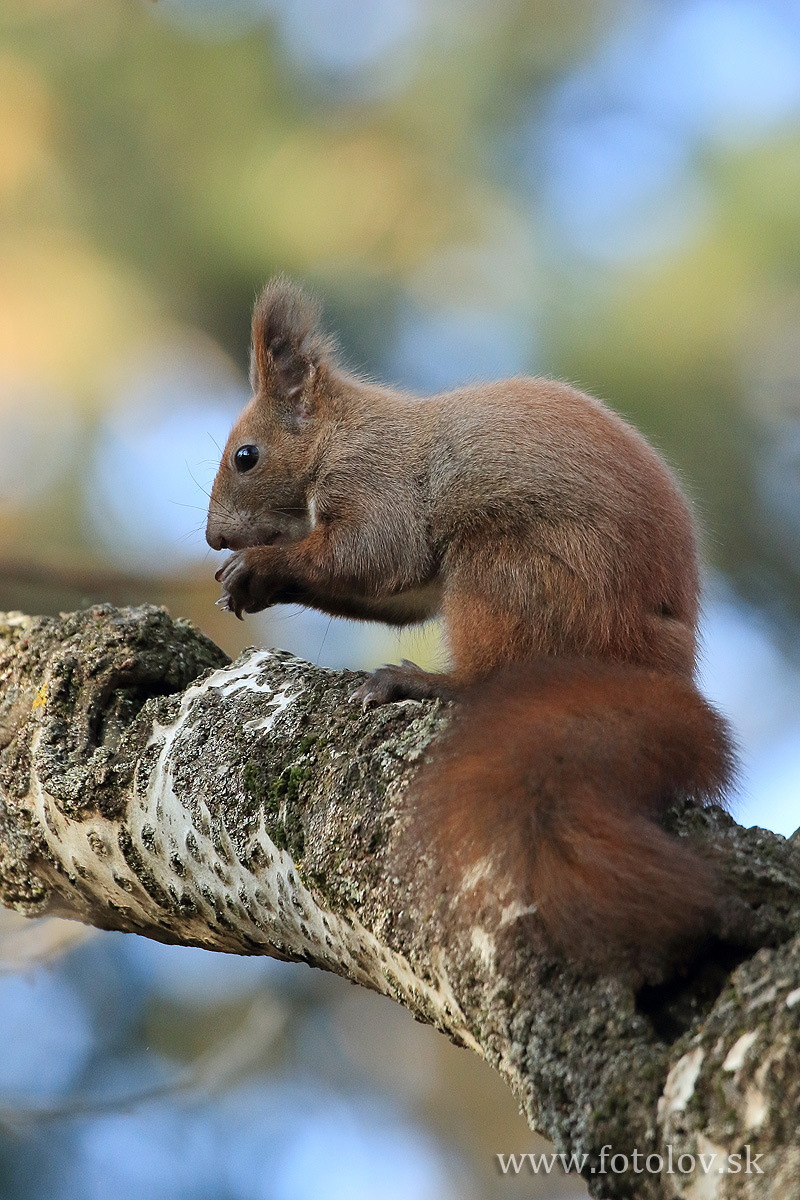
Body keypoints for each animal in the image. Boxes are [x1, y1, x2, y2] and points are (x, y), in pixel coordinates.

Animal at [208, 276, 738, 969]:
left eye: (246, 457)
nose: (214, 537)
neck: (340, 435)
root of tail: (652, 667)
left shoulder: (380, 487)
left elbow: (376, 554)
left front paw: (260, 565)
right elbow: (395, 591)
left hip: (506, 575)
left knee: (492, 674)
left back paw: (423, 683)